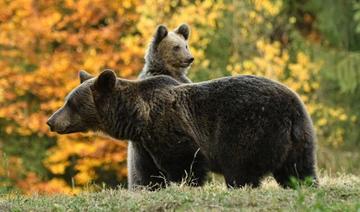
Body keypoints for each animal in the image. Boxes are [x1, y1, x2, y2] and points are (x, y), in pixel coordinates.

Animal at [47, 70, 318, 188]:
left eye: (70, 103)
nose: (50, 121)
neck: (136, 120)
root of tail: (292, 107)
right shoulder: (145, 145)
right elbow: (148, 173)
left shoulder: (169, 130)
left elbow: (185, 164)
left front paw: (186, 184)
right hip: (300, 138)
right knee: (299, 169)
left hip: (249, 130)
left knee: (241, 168)